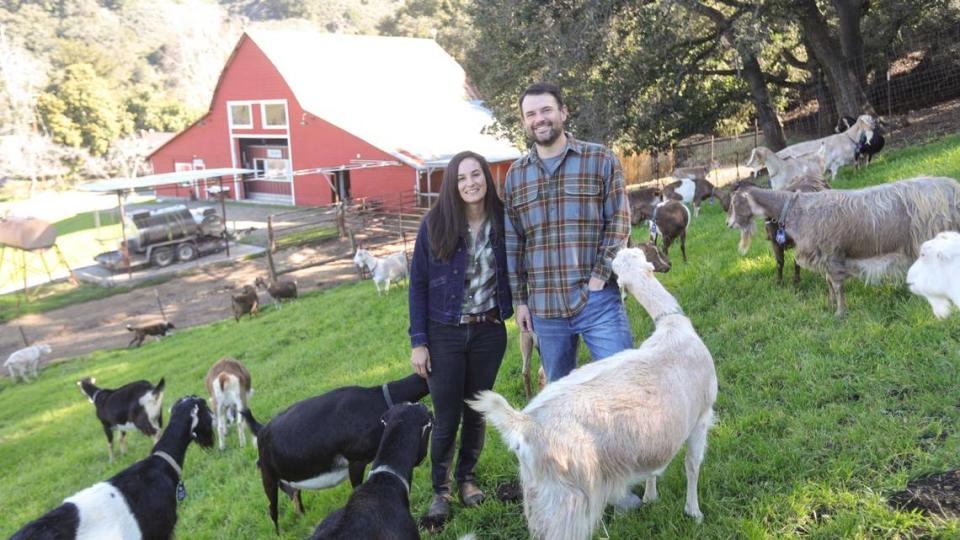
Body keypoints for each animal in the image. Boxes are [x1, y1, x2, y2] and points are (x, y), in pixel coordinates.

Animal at [468, 249, 716, 540]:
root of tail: (522, 423)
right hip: (568, 497)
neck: (672, 326)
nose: (613, 252)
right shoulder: (702, 415)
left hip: (536, 493)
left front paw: (650, 497)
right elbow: (692, 465)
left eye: (631, 257)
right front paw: (694, 513)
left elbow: (654, 468)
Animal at [736, 176, 960, 316]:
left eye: (735, 202)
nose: (731, 224)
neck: (797, 209)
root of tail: (953, 188)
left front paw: (840, 312)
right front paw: (830, 305)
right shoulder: (826, 257)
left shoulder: (832, 254)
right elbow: (829, 283)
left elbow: (836, 285)